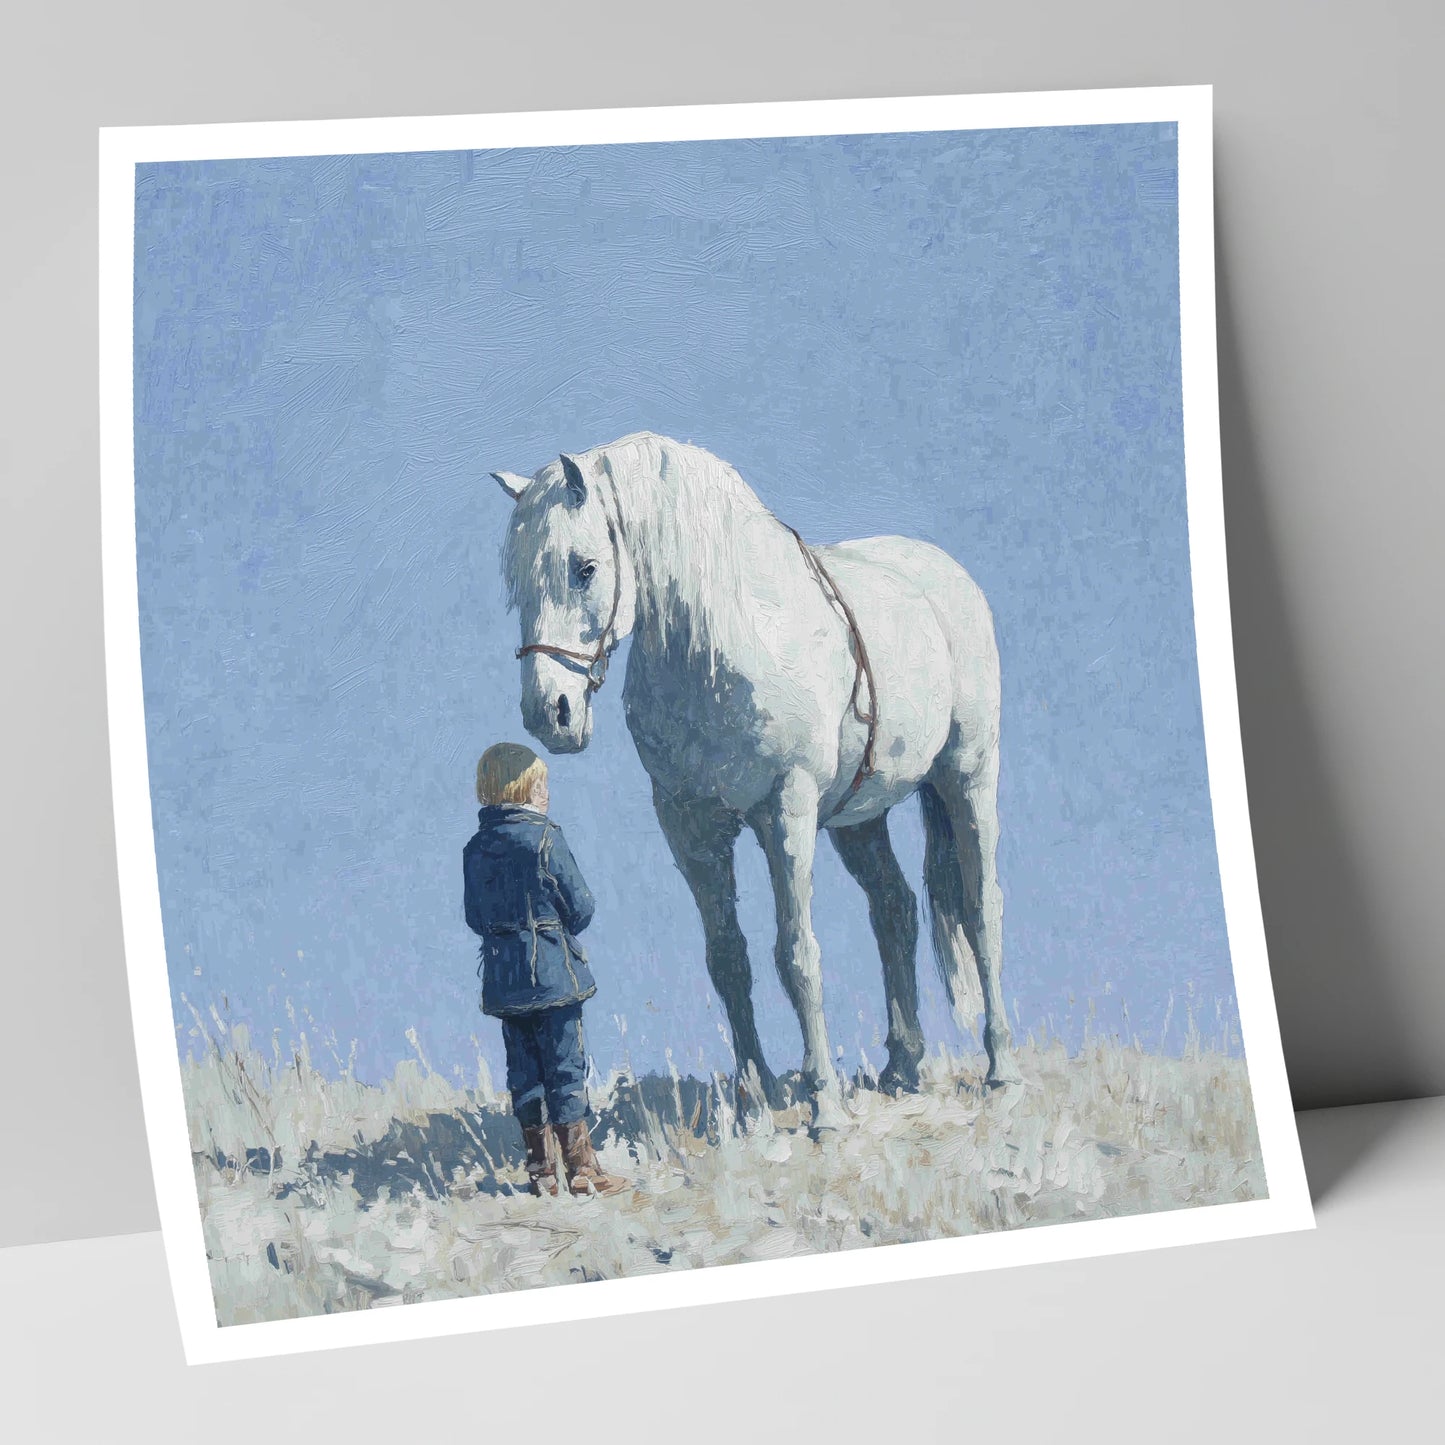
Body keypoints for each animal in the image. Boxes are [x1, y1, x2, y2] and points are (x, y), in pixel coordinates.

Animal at [492, 432, 1020, 1129]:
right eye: (516, 581)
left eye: (584, 567)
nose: (548, 713)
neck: (725, 642)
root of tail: (946, 576)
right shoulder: (690, 827)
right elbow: (728, 959)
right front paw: (751, 1100)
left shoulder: (785, 812)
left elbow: (796, 955)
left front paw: (824, 1106)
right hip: (859, 819)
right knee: (895, 910)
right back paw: (903, 1067)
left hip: (967, 778)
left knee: (983, 909)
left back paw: (1002, 1068)